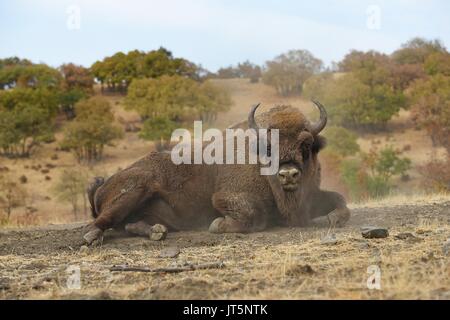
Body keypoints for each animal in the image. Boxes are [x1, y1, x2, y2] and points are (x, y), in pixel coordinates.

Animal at [82, 101, 350, 244]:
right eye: (268, 147)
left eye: (306, 145)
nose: (289, 174)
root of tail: (103, 185)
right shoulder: (224, 197)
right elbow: (253, 214)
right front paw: (217, 225)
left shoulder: (311, 196)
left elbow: (340, 201)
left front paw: (331, 218)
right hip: (137, 186)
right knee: (100, 222)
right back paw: (92, 237)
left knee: (128, 225)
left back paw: (157, 232)